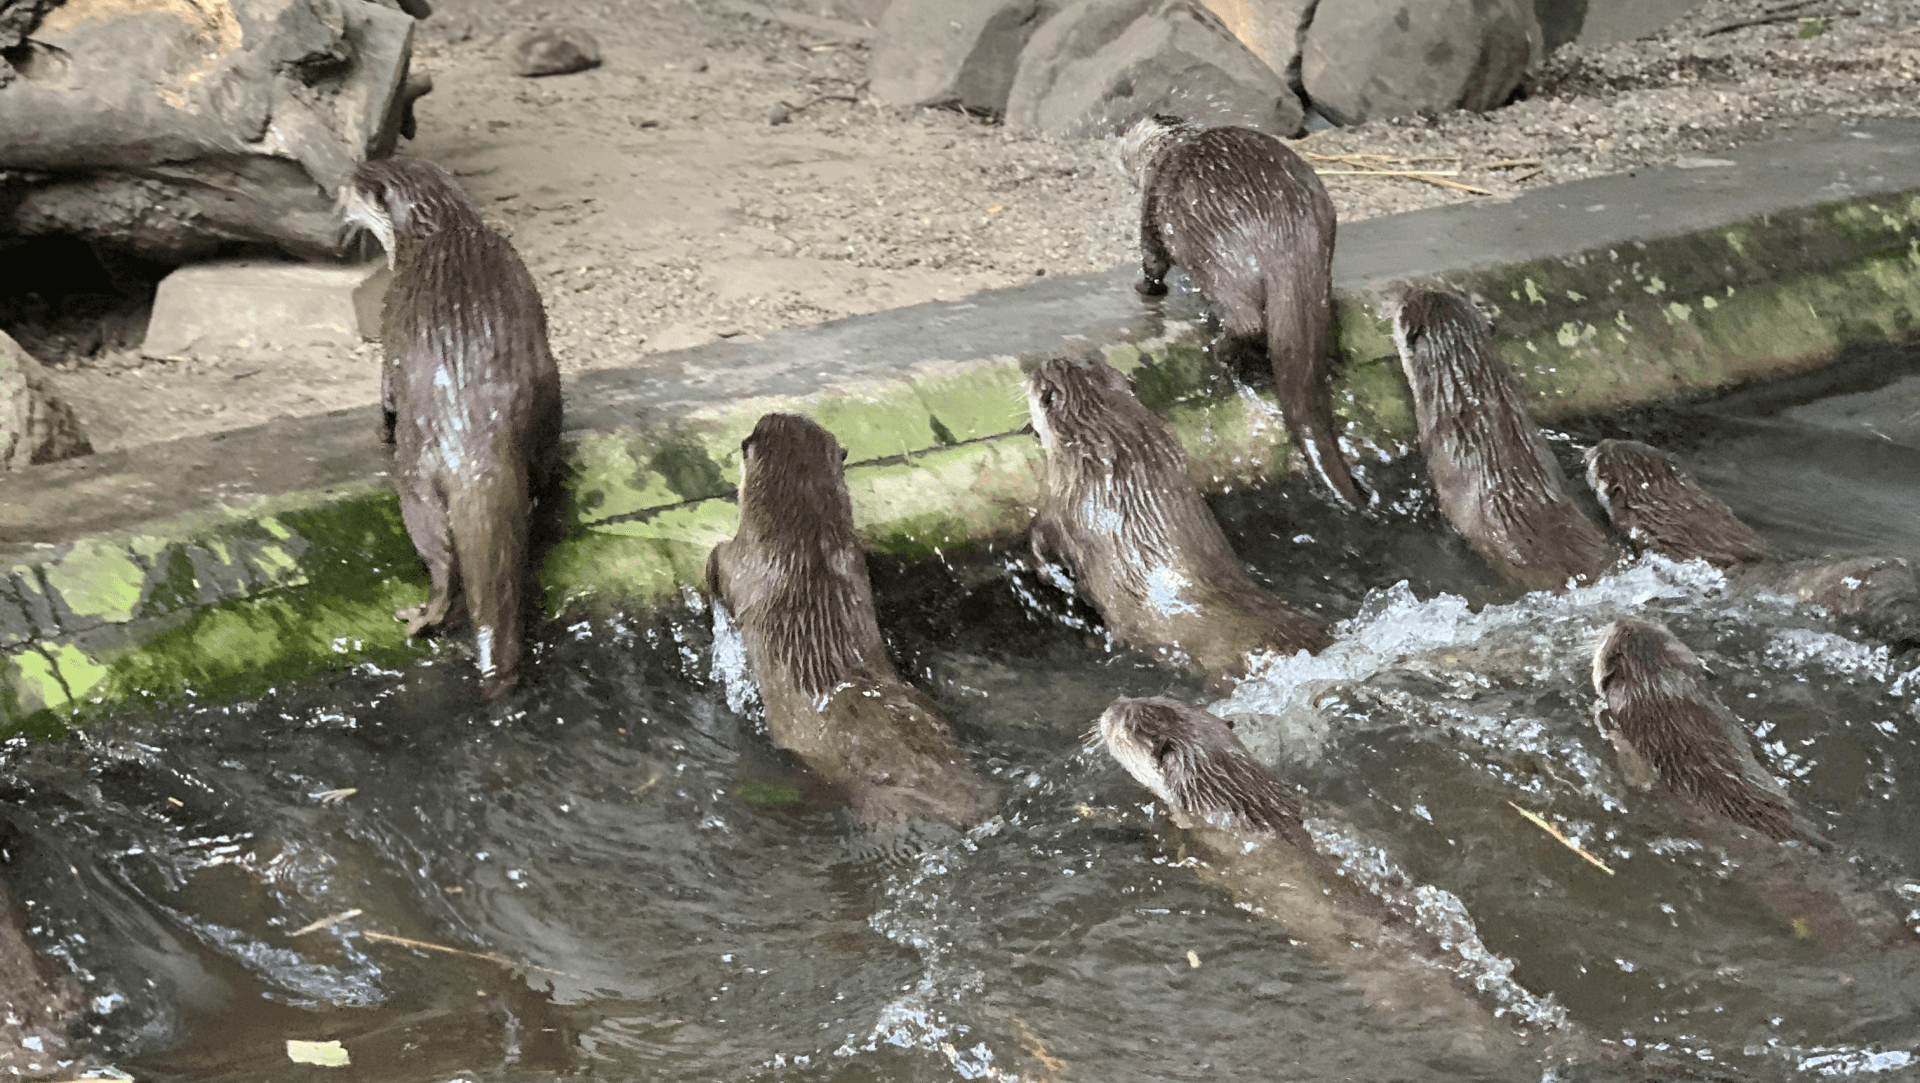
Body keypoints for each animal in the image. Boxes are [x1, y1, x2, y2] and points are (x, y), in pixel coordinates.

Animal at [342, 156, 563, 700]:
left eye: (356, 181)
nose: (338, 187)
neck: (437, 227)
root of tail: (470, 429)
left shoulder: (389, 321)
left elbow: (384, 391)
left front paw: (378, 427)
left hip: (415, 477)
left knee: (441, 555)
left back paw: (427, 615)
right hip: (545, 399)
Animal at [1025, 353, 1331, 685]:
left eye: (1041, 378)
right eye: (1088, 360)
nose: (1048, 360)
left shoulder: (1065, 505)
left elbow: (1041, 537)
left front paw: (1048, 573)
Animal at [1116, 114, 1363, 510]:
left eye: (1127, 136)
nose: (1117, 147)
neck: (1170, 148)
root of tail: (1288, 227)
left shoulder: (1151, 204)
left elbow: (1152, 256)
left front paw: (1146, 287)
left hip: (1216, 256)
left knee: (1245, 321)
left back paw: (1225, 351)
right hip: (1321, 259)